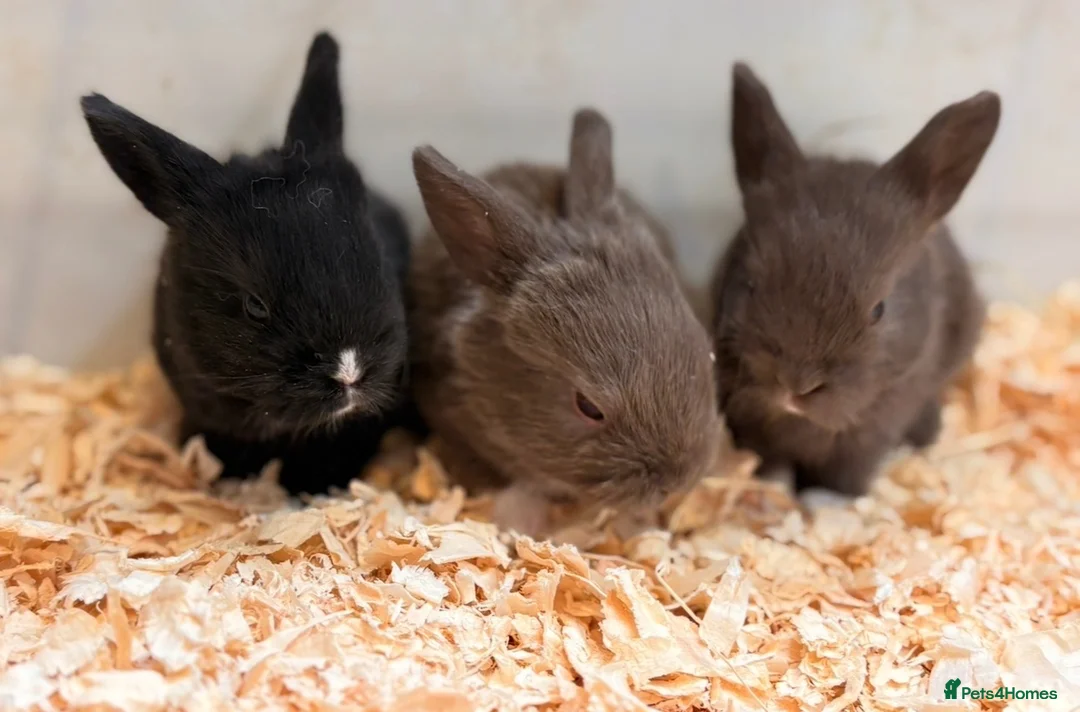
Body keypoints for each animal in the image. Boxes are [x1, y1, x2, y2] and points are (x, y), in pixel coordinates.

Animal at [709, 62, 1000, 497]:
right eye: (751, 285)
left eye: (879, 310)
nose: (795, 386)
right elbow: (772, 463)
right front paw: (776, 487)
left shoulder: (871, 435)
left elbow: (847, 478)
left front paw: (827, 499)